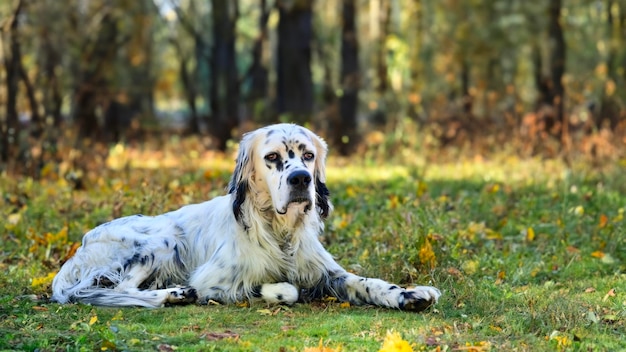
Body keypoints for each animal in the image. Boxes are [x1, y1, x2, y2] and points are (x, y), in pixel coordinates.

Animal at [51, 124, 442, 310]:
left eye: (308, 155)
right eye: (272, 158)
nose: (300, 179)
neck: (280, 232)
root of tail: (79, 249)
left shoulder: (328, 274)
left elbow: (368, 282)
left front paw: (408, 294)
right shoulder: (215, 282)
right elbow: (284, 289)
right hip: (158, 242)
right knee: (120, 290)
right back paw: (174, 293)